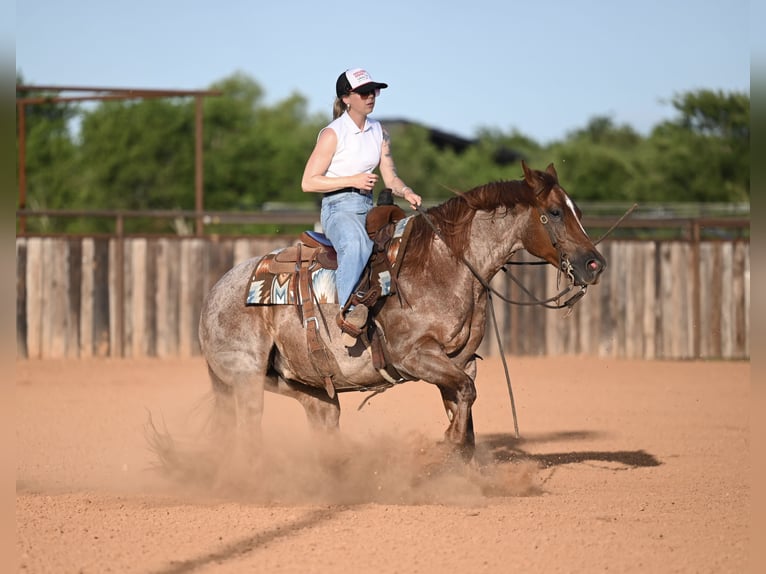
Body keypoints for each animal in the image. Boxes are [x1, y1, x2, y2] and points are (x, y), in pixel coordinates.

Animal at [198, 161, 606, 461]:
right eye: (555, 211)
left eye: (577, 210)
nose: (594, 264)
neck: (443, 266)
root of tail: (214, 294)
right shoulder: (414, 355)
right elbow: (466, 394)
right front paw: (446, 444)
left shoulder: (460, 360)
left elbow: (464, 403)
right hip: (246, 378)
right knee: (247, 432)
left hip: (306, 389)